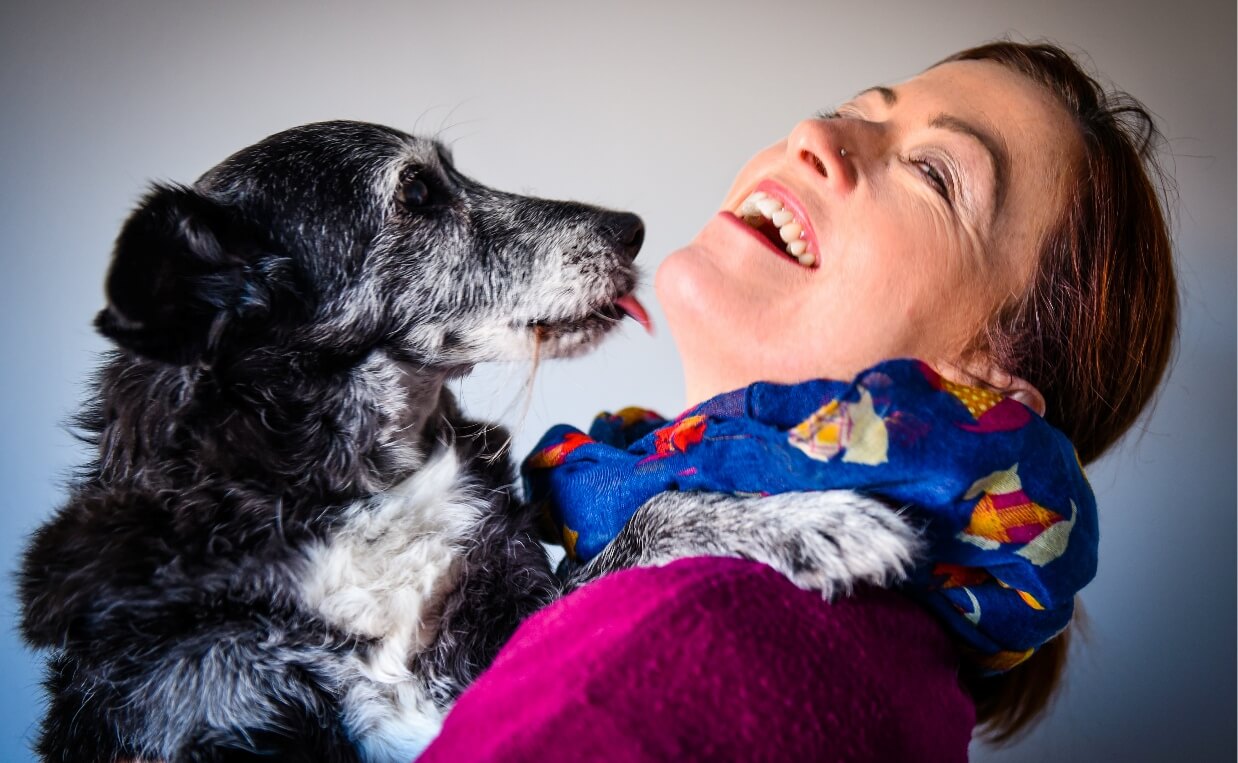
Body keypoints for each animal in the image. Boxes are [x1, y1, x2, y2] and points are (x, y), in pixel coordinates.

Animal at [14, 120, 916, 763]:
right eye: (417, 190)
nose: (631, 227)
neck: (360, 480)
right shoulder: (202, 708)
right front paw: (815, 518)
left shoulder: (508, 643)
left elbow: (644, 524)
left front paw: (806, 520)